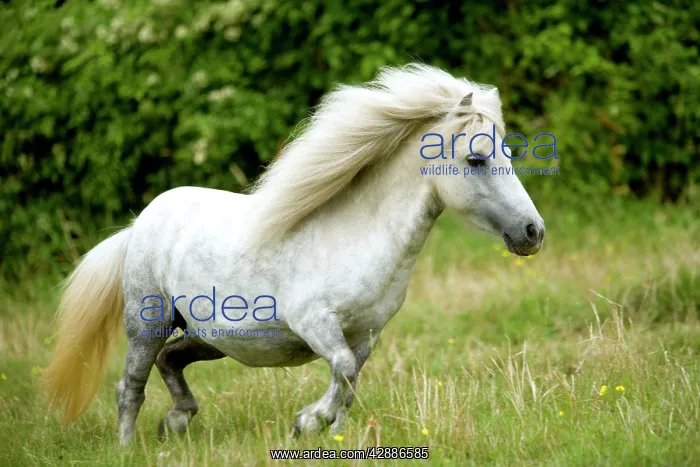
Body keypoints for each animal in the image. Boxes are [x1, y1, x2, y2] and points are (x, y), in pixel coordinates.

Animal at [43, 63, 545, 445]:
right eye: (476, 158)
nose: (532, 232)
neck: (357, 239)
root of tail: (140, 224)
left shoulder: (367, 335)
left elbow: (349, 383)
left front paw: (330, 431)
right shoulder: (315, 322)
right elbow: (342, 370)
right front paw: (306, 423)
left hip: (210, 337)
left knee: (171, 360)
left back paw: (177, 421)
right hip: (146, 322)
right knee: (130, 387)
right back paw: (130, 446)